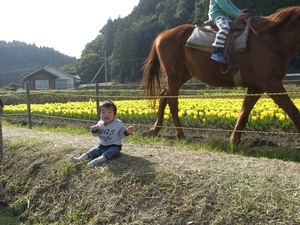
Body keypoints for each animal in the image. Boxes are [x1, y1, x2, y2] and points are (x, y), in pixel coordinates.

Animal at [142, 7, 300, 145]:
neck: (271, 38)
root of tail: (162, 35)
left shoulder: (257, 87)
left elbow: (244, 112)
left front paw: (234, 140)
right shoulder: (270, 83)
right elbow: (293, 111)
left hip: (181, 75)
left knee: (164, 96)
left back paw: (155, 129)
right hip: (173, 76)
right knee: (173, 102)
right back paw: (179, 134)